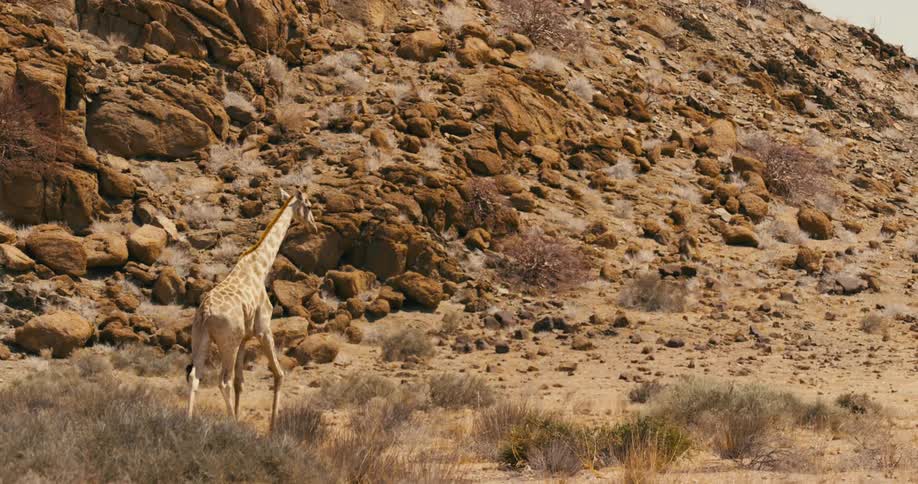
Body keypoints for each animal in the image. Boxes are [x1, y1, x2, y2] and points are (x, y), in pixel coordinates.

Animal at [187, 188, 317, 431]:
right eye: (309, 206)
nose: (313, 226)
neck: (260, 267)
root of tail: (206, 313)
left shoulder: (245, 338)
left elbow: (241, 382)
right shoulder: (263, 329)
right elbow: (279, 374)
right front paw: (273, 428)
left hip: (201, 337)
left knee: (195, 376)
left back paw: (187, 420)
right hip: (228, 341)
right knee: (223, 381)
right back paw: (232, 425)